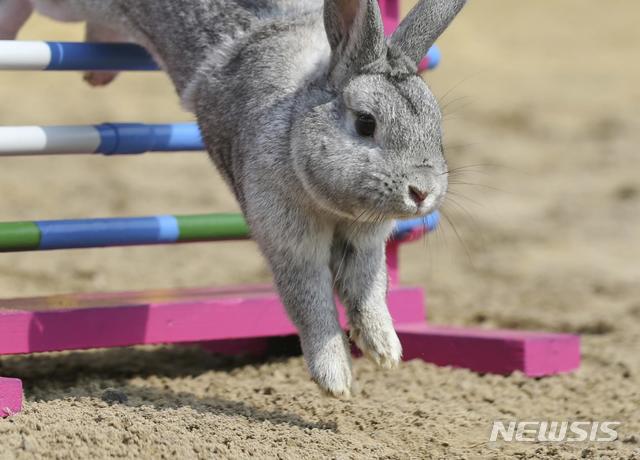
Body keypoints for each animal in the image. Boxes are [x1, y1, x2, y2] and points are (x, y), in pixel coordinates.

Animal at [2, 0, 468, 396]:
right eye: (366, 123)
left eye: (437, 126)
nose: (422, 191)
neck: (295, 123)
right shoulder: (289, 242)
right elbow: (312, 305)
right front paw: (335, 380)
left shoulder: (365, 245)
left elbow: (370, 294)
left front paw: (385, 351)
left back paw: (98, 75)